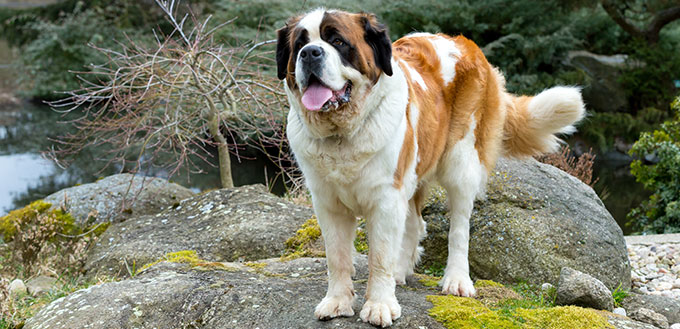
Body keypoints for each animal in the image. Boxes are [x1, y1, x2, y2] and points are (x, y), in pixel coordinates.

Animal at [276, 7, 584, 326]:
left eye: (337, 41)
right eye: (300, 44)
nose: (310, 53)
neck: (342, 135)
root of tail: (462, 42)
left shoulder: (386, 199)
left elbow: (379, 257)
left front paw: (379, 304)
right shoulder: (328, 203)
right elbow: (337, 257)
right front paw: (337, 302)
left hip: (461, 163)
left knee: (459, 228)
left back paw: (457, 279)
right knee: (415, 224)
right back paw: (401, 271)